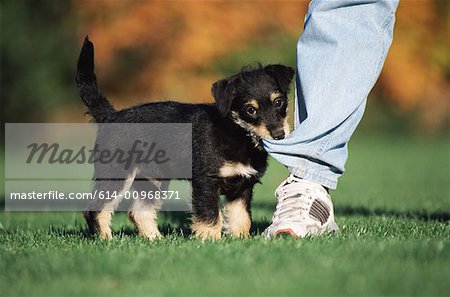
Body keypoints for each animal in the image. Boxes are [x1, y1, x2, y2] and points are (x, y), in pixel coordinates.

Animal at [76, 37, 296, 239]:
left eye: (279, 102)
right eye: (250, 110)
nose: (279, 134)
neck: (236, 131)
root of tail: (111, 116)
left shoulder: (243, 186)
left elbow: (240, 217)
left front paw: (239, 240)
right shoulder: (206, 182)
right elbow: (210, 216)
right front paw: (210, 241)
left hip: (153, 180)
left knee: (139, 211)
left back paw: (155, 240)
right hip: (116, 174)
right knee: (95, 209)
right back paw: (107, 240)